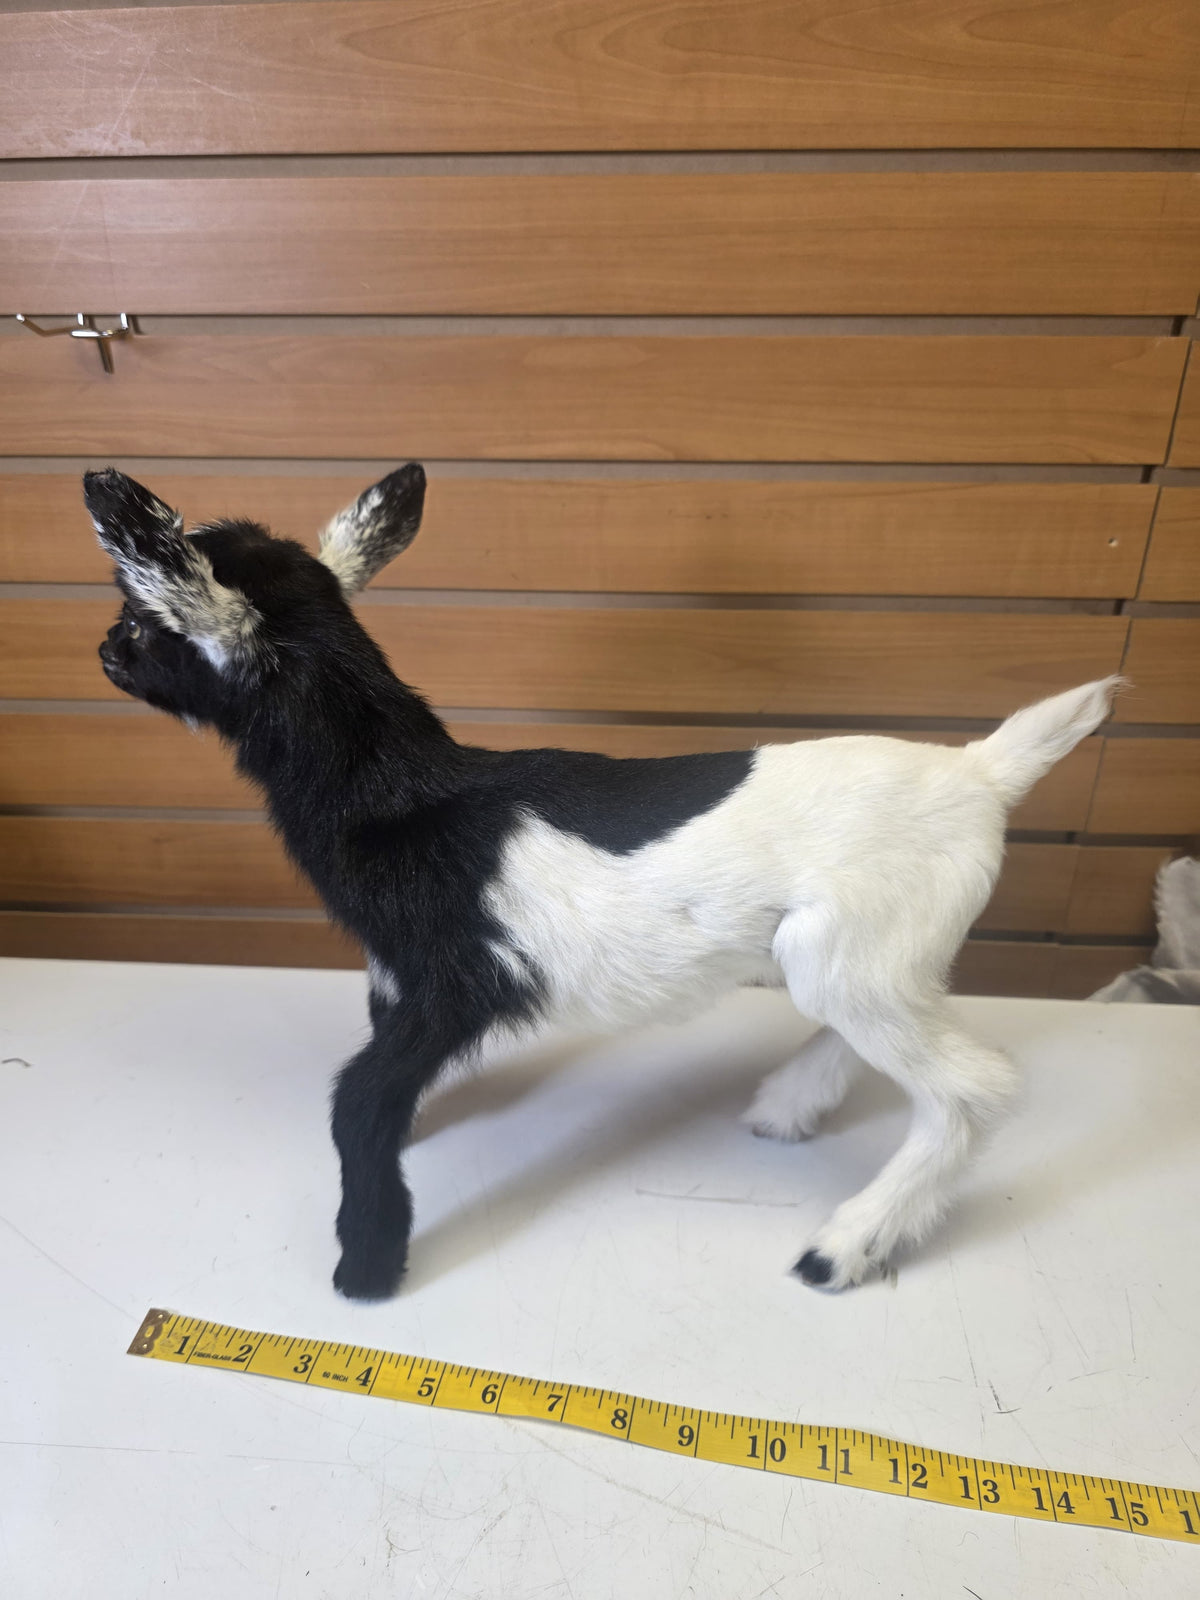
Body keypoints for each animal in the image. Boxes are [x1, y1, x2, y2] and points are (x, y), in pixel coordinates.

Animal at [87, 464, 1119, 1297]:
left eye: (145, 621)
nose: (101, 650)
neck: (401, 791)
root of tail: (983, 774)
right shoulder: (396, 974)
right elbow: (377, 1070)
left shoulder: (459, 980)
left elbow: (359, 1101)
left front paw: (367, 1262)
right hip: (878, 953)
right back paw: (787, 1108)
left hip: (852, 952)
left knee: (977, 1086)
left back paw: (845, 1246)